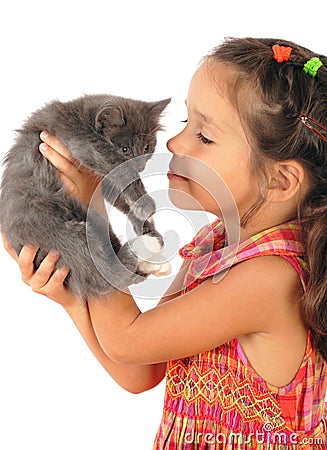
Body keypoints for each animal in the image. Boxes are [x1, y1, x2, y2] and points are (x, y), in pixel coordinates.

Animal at [1, 93, 172, 300]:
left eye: (147, 147)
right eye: (125, 150)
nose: (140, 165)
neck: (80, 116)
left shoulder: (102, 180)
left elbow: (121, 198)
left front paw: (148, 225)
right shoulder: (84, 143)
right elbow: (122, 171)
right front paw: (146, 207)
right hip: (66, 232)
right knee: (103, 277)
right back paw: (144, 247)